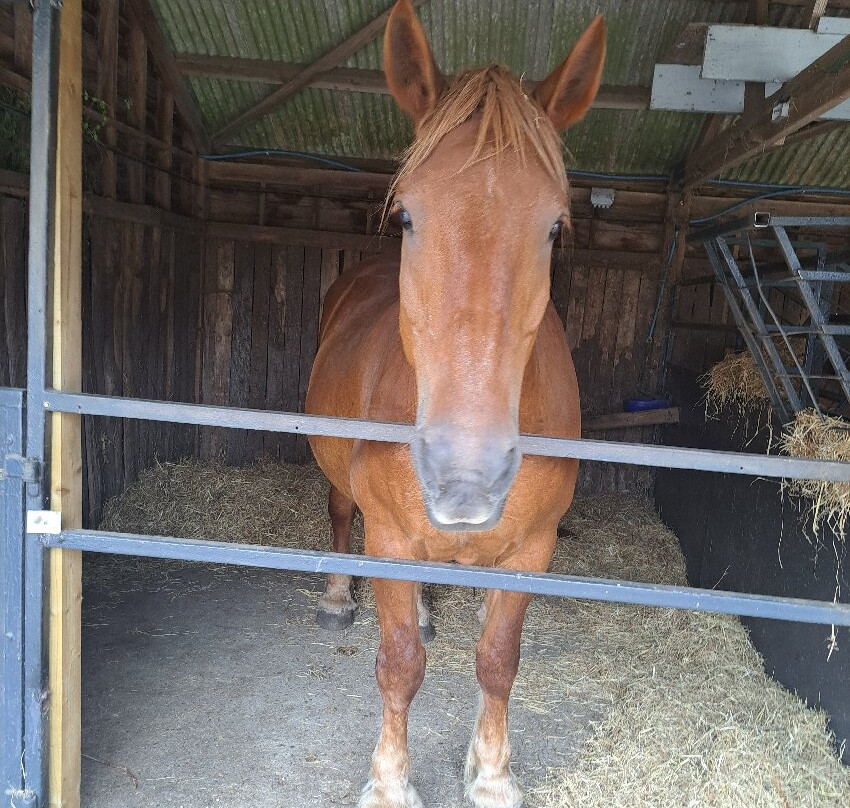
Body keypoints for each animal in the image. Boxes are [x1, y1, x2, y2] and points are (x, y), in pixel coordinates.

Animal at [305, 2, 605, 805]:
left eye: (555, 225)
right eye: (408, 215)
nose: (465, 479)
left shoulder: (530, 551)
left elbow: (499, 661)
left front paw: (492, 773)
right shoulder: (389, 541)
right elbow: (400, 665)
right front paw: (388, 782)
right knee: (339, 514)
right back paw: (338, 598)